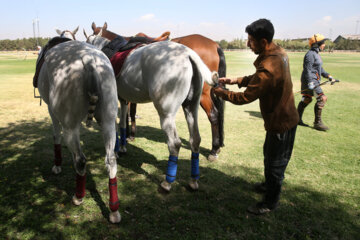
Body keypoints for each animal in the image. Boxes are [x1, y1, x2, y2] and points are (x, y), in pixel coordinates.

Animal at [36, 39, 121, 223]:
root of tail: (88, 59)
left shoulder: (51, 110)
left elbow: (56, 136)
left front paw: (57, 165)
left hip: (70, 126)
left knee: (80, 160)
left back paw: (78, 197)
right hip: (108, 121)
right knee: (111, 160)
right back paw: (114, 210)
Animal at [86, 23, 218, 192]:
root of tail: (189, 54)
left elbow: (115, 126)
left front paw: (116, 150)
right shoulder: (123, 100)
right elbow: (122, 124)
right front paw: (122, 148)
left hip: (167, 114)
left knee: (174, 143)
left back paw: (168, 182)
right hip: (191, 107)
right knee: (195, 139)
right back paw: (193, 180)